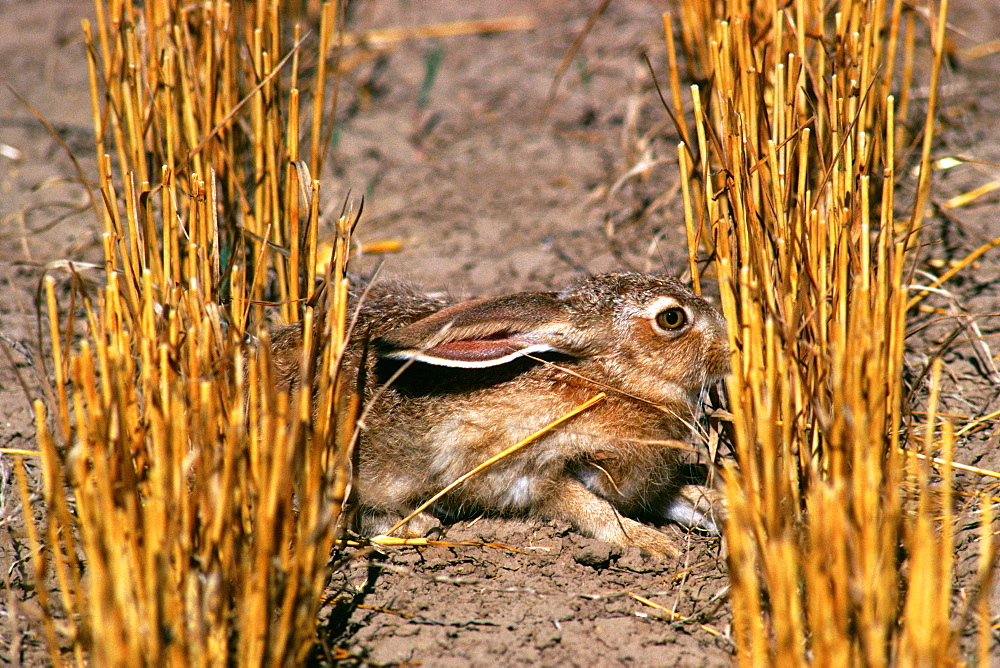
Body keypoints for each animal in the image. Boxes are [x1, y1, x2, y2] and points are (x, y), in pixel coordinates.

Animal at [270, 272, 732, 560]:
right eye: (671, 318)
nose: (731, 348)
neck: (612, 381)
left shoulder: (647, 481)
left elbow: (686, 496)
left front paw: (726, 508)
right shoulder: (530, 472)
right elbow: (593, 510)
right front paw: (651, 542)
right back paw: (419, 524)